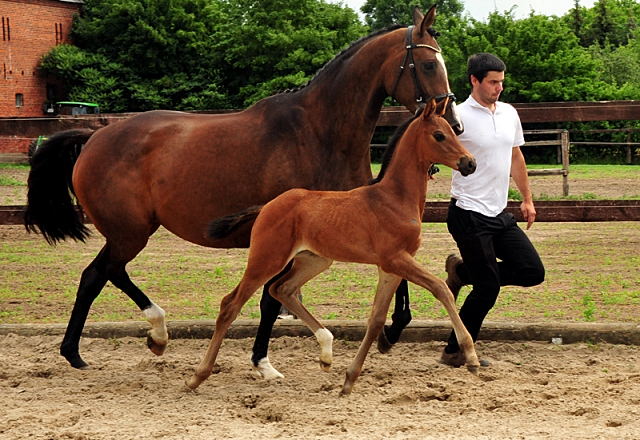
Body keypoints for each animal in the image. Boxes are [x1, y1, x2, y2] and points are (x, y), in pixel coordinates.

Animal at [188, 99, 478, 396]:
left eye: (454, 132)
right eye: (439, 135)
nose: (469, 163)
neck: (394, 198)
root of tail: (266, 207)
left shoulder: (391, 267)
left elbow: (376, 319)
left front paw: (349, 379)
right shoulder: (395, 259)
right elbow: (440, 288)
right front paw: (471, 356)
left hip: (314, 260)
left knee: (282, 289)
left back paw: (326, 352)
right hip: (267, 259)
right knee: (230, 304)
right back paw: (197, 376)